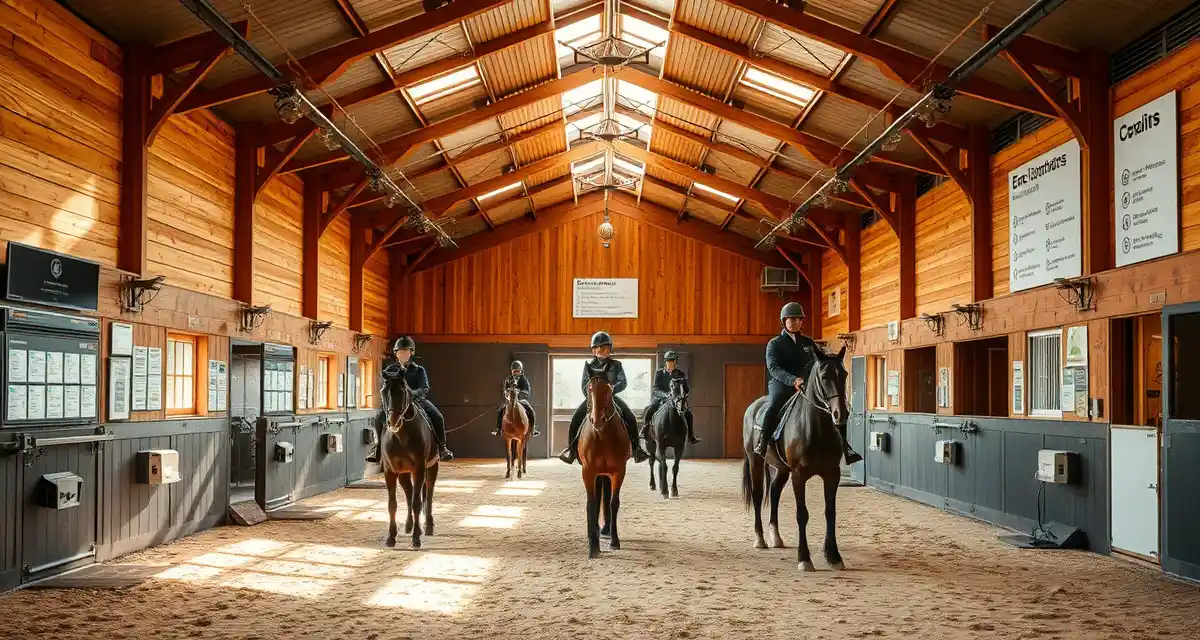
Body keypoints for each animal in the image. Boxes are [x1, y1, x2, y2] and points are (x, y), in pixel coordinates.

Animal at [379, 366, 440, 550]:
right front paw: (391, 538)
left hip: (431, 467)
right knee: (409, 492)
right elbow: (392, 505)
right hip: (404, 473)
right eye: (383, 391)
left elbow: (417, 503)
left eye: (404, 391)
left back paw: (428, 526)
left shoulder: (418, 469)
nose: (393, 422)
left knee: (428, 493)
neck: (401, 437)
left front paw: (416, 539)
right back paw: (408, 525)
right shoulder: (390, 471)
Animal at [578, 363, 630, 558]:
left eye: (609, 389)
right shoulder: (588, 472)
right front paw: (593, 546)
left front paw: (614, 541)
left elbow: (613, 503)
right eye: (589, 389)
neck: (602, 436)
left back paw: (606, 531)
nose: (597, 420)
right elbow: (592, 504)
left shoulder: (618, 471)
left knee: (606, 498)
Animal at [741, 345, 849, 572]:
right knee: (758, 495)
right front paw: (804, 559)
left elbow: (830, 512)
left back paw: (776, 538)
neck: (816, 428)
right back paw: (760, 539)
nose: (840, 414)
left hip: (782, 469)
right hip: (756, 461)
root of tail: (753, 406)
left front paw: (833, 557)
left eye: (844, 374)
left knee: (774, 493)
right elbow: (802, 514)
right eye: (824, 376)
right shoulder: (799, 475)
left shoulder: (832, 474)